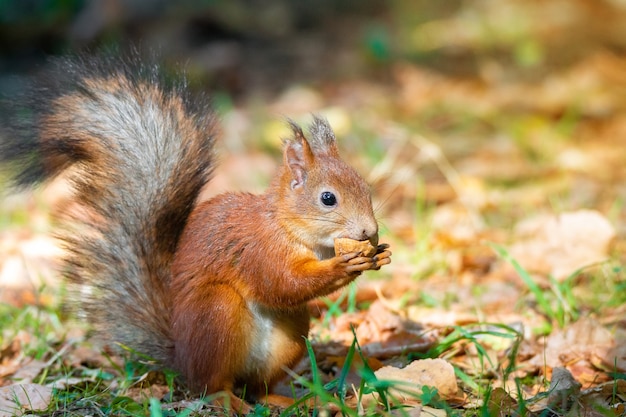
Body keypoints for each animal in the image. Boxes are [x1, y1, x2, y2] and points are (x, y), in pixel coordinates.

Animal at [0, 54, 390, 406]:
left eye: (366, 188)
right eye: (328, 198)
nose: (369, 232)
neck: (290, 228)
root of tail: (181, 360)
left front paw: (379, 255)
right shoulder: (257, 248)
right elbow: (282, 283)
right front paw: (345, 265)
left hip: (291, 333)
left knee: (258, 389)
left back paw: (288, 399)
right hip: (215, 315)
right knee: (211, 385)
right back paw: (227, 400)